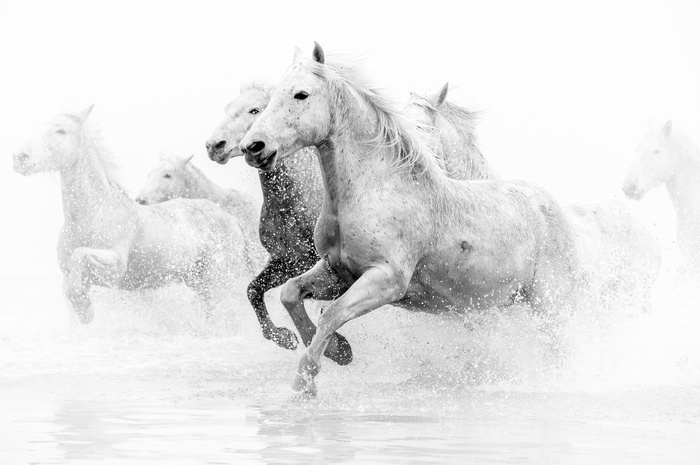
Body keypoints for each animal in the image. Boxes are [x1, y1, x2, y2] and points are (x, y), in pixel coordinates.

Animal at [12, 106, 248, 324]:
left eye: (61, 130)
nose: (19, 158)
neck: (93, 213)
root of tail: (232, 219)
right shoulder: (68, 275)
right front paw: (82, 311)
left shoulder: (115, 268)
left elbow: (80, 256)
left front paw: (85, 309)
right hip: (199, 283)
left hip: (219, 281)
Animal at [205, 82, 331, 353]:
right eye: (227, 108)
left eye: (255, 110)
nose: (214, 145)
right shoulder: (288, 261)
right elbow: (253, 289)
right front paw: (284, 337)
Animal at [241, 43, 585, 396]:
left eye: (301, 94)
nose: (252, 147)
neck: (375, 189)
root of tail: (553, 208)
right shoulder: (337, 272)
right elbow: (291, 293)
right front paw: (338, 350)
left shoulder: (387, 280)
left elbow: (332, 313)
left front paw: (305, 383)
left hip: (551, 306)